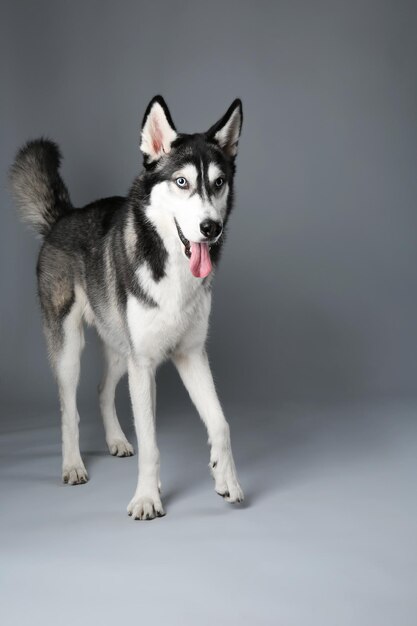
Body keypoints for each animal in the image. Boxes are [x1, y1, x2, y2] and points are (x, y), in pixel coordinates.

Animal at [8, 96, 244, 516]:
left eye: (219, 183)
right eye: (181, 182)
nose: (210, 228)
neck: (172, 267)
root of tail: (63, 217)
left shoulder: (190, 354)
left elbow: (220, 423)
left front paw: (225, 479)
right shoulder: (144, 363)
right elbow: (150, 441)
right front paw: (148, 497)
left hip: (121, 348)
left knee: (103, 388)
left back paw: (116, 440)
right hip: (71, 349)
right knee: (69, 408)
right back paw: (73, 464)